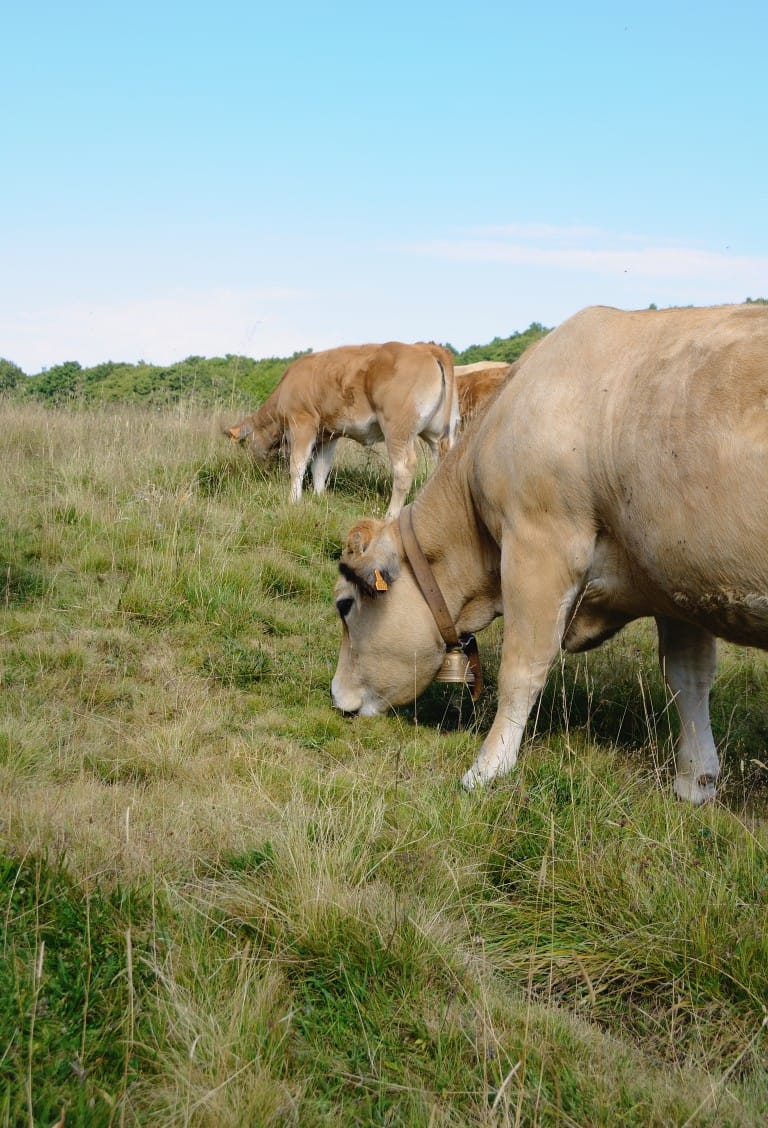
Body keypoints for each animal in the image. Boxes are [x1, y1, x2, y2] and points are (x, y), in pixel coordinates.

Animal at [225, 342, 458, 519]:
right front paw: (319, 497)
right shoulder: (329, 435)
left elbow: (298, 465)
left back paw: (391, 515)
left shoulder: (303, 423)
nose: (255, 466)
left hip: (397, 431)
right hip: (438, 435)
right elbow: (320, 468)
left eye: (246, 442)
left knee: (404, 468)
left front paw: (293, 500)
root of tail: (425, 348)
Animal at [331, 303, 768, 804]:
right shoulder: (673, 579)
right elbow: (688, 680)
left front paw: (487, 768)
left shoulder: (538, 546)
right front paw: (695, 781)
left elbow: (521, 669)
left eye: (345, 604)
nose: (336, 696)